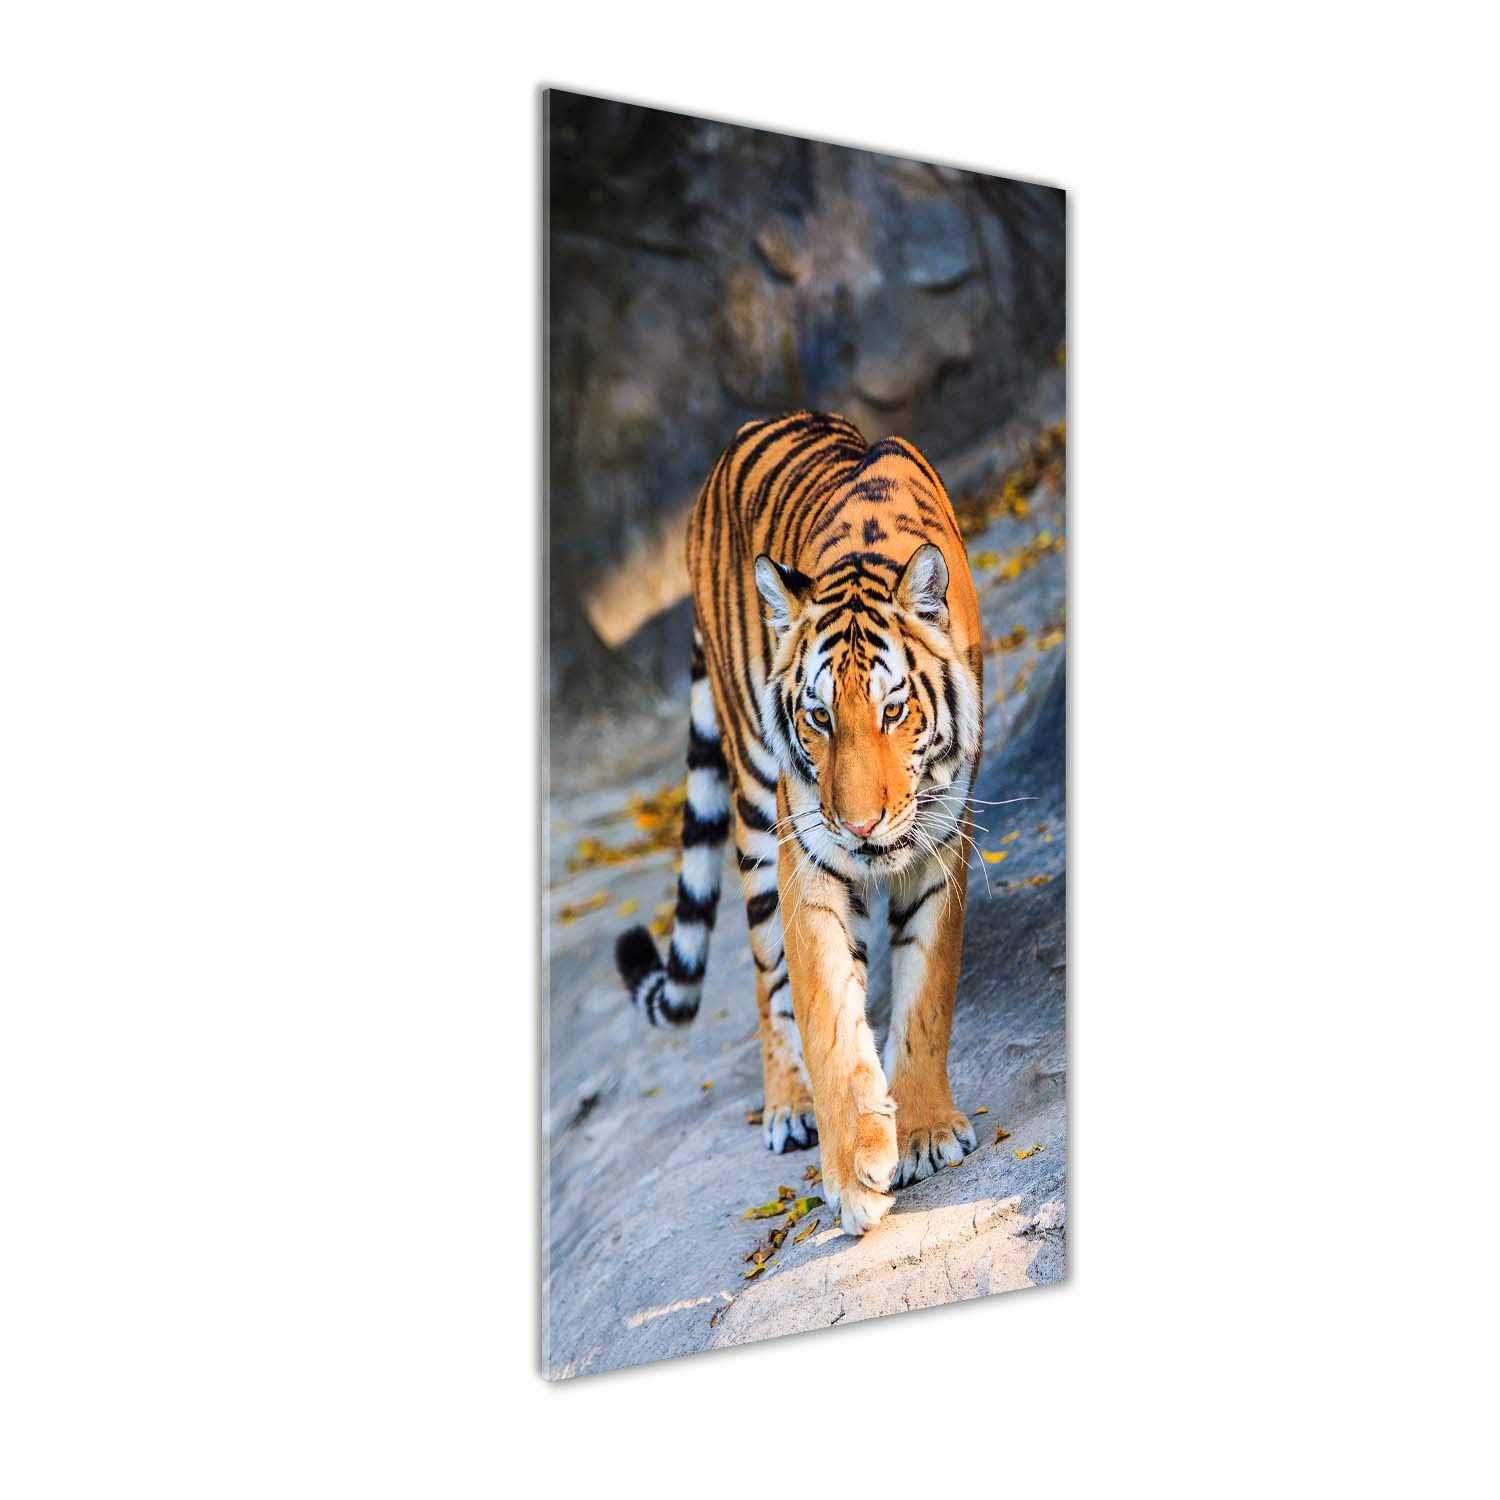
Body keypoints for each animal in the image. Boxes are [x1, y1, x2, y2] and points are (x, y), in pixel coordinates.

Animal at [615, 410, 985, 1235]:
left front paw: (925, 1132)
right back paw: (788, 1107)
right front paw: (855, 1173)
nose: (862, 826)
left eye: (893, 711)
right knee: (765, 975)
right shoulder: (809, 858)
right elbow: (827, 1013)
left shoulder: (941, 845)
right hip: (756, 808)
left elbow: (925, 996)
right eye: (818, 718)